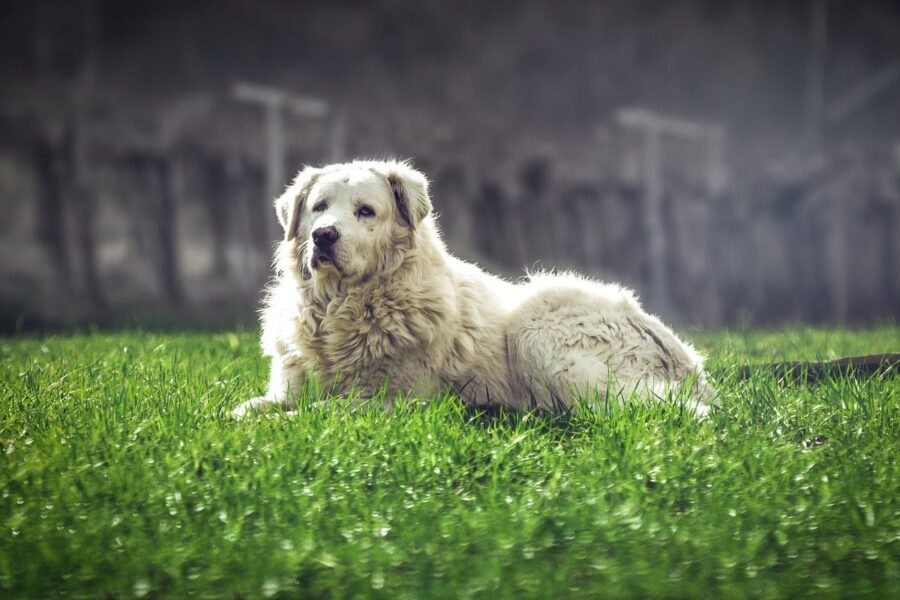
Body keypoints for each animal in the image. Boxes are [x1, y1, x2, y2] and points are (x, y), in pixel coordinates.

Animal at [230, 162, 712, 420]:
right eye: (319, 207)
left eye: (365, 211)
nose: (324, 236)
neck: (342, 307)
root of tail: (688, 359)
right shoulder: (287, 388)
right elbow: (247, 408)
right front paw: (239, 419)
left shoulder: (390, 401)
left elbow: (317, 413)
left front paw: (277, 427)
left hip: (536, 322)